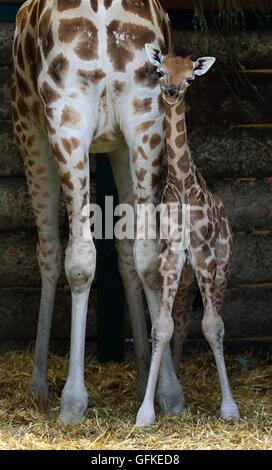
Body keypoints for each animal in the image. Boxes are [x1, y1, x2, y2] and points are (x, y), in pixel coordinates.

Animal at [11, 0, 184, 424]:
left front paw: (61, 394)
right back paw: (160, 388)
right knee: (137, 253)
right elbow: (134, 255)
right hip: (138, 124)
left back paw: (57, 390)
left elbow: (70, 257)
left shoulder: (39, 120)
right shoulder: (130, 129)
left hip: (58, 124)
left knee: (64, 253)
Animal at [136, 46, 240, 428]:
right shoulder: (170, 258)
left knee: (216, 320)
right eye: (160, 71)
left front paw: (229, 408)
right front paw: (146, 411)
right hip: (184, 279)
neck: (182, 184)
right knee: (180, 322)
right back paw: (177, 379)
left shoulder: (204, 254)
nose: (172, 92)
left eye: (191, 77)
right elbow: (163, 327)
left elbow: (212, 326)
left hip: (222, 268)